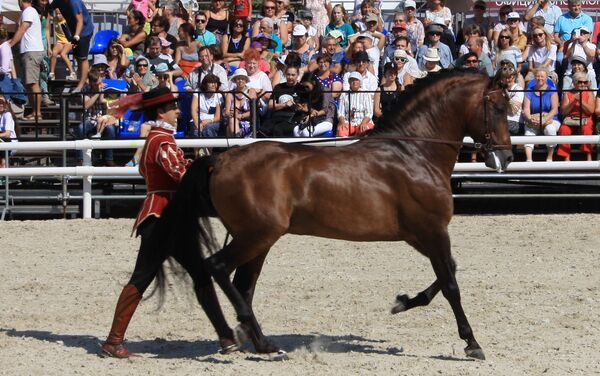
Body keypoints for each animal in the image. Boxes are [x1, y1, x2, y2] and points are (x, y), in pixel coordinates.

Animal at [162, 69, 512, 360]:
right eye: (498, 107)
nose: (505, 157)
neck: (413, 154)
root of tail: (221, 159)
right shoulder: (433, 231)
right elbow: (451, 284)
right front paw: (472, 343)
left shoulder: (420, 235)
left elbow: (447, 272)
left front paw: (402, 302)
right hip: (256, 236)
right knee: (218, 268)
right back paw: (249, 339)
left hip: (257, 240)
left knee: (243, 286)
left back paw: (256, 342)